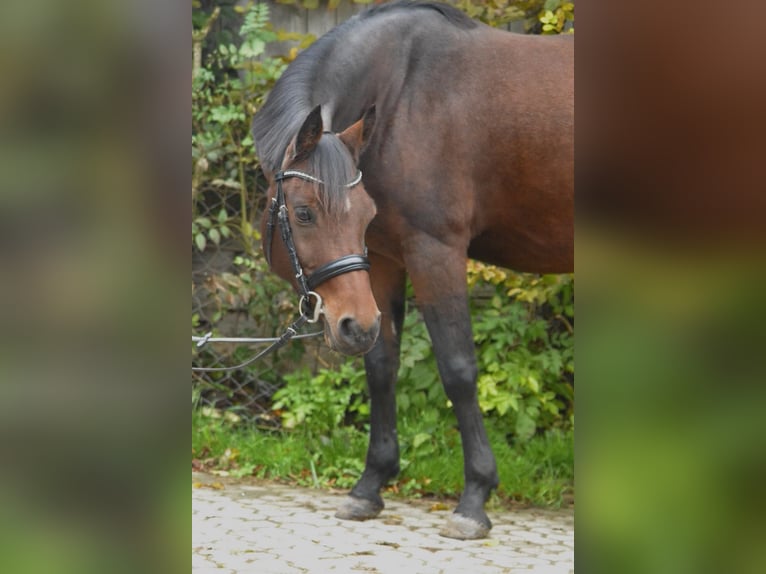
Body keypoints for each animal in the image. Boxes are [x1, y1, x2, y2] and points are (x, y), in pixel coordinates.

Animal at [255, 0, 572, 544]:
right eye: (305, 213)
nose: (348, 326)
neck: (402, 93)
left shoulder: (434, 250)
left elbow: (458, 369)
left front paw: (474, 499)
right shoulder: (382, 260)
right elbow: (381, 365)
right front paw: (370, 486)